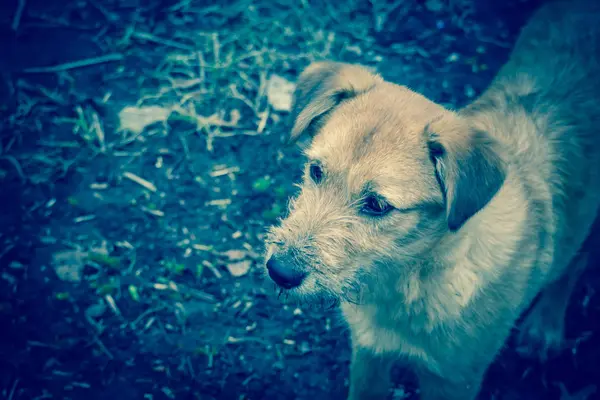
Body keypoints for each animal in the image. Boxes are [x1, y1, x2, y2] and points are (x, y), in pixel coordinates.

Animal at [262, 1, 600, 398]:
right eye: (316, 171)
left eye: (378, 205)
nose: (279, 271)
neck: (408, 278)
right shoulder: (369, 356)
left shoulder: (454, 380)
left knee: (575, 261)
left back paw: (544, 326)